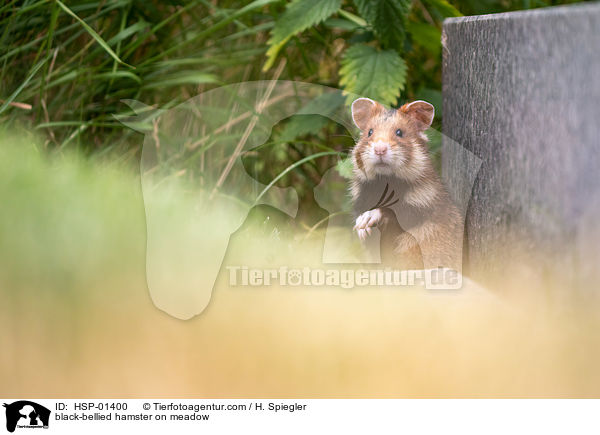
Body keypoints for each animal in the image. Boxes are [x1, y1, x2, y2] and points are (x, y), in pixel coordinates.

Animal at [350, 97, 462, 270]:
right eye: (369, 132)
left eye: (399, 132)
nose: (380, 149)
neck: (385, 182)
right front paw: (361, 229)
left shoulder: (418, 210)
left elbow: (388, 212)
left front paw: (365, 221)